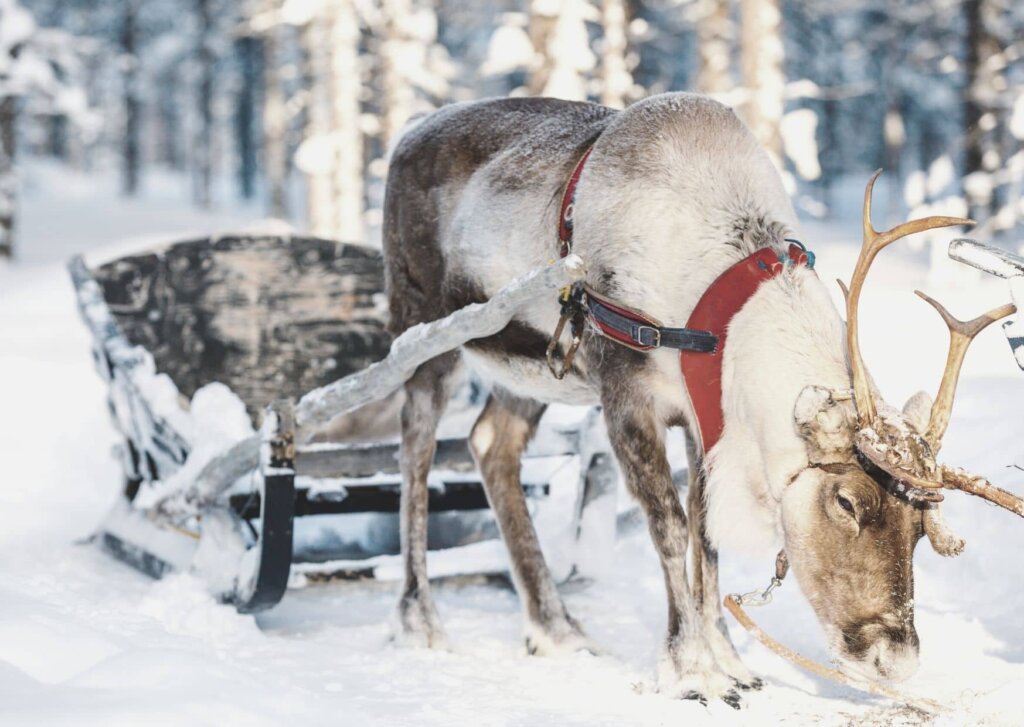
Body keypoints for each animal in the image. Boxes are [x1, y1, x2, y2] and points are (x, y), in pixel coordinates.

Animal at [381, 92, 1017, 707]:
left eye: (921, 526)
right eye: (847, 502)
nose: (895, 660)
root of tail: (406, 136)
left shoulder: (702, 417)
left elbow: (706, 536)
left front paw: (731, 661)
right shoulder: (625, 396)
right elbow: (670, 526)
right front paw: (691, 671)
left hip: (536, 368)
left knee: (492, 443)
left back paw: (556, 628)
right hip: (427, 332)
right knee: (415, 451)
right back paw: (420, 622)